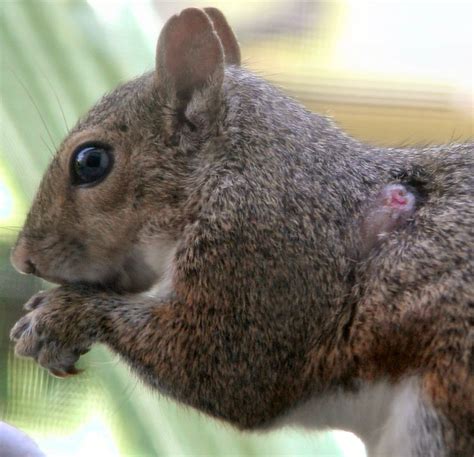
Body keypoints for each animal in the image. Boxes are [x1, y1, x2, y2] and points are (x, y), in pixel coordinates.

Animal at [8, 8, 474, 456]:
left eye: (90, 161)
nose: (22, 259)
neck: (237, 167)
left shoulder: (260, 248)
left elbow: (226, 370)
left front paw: (59, 315)